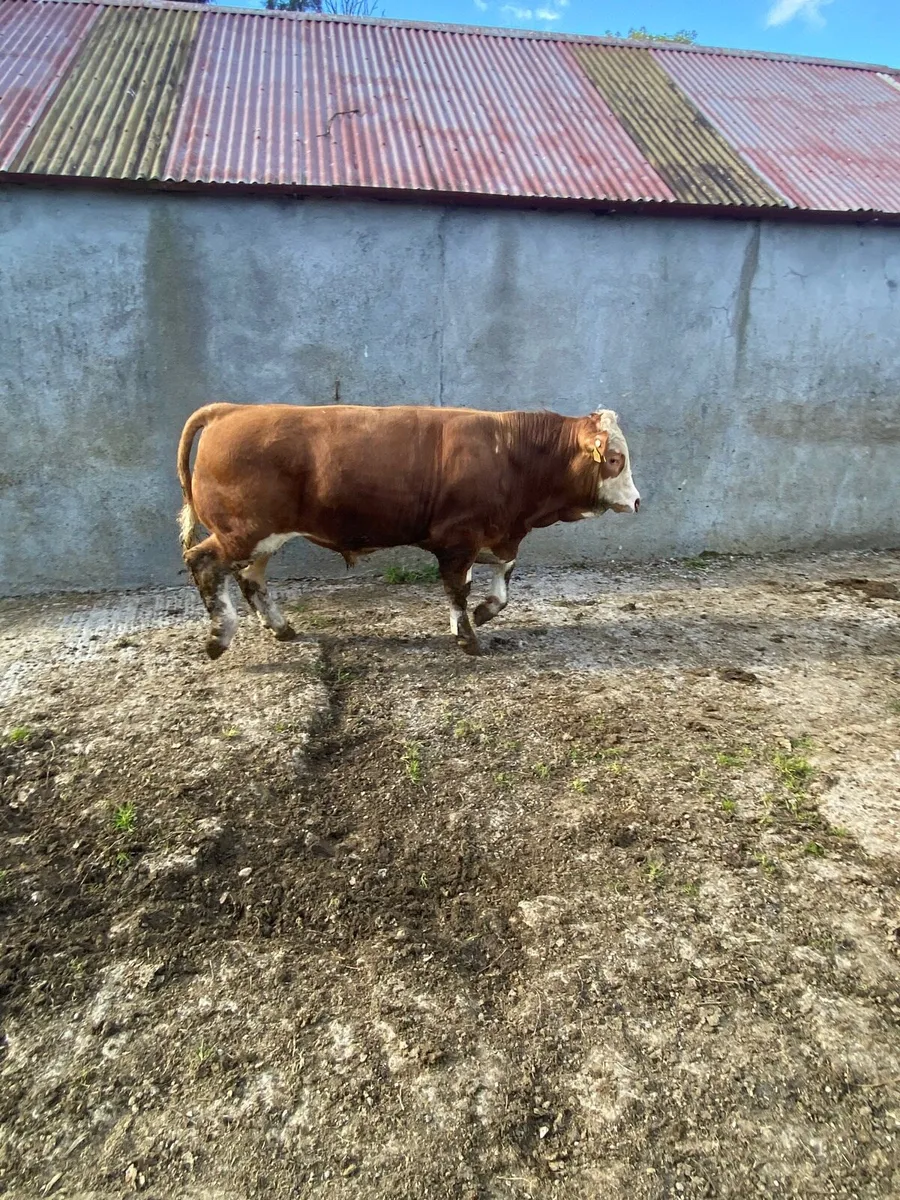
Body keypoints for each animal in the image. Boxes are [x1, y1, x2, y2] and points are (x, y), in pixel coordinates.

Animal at [176, 403, 640, 658]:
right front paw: (467, 637)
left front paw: (483, 613)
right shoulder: (458, 539)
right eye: (615, 460)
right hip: (244, 531)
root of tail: (230, 409)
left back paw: (280, 628)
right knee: (203, 562)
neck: (511, 453)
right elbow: (457, 589)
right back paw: (219, 637)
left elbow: (502, 584)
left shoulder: (502, 535)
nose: (636, 501)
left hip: (262, 535)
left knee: (250, 577)